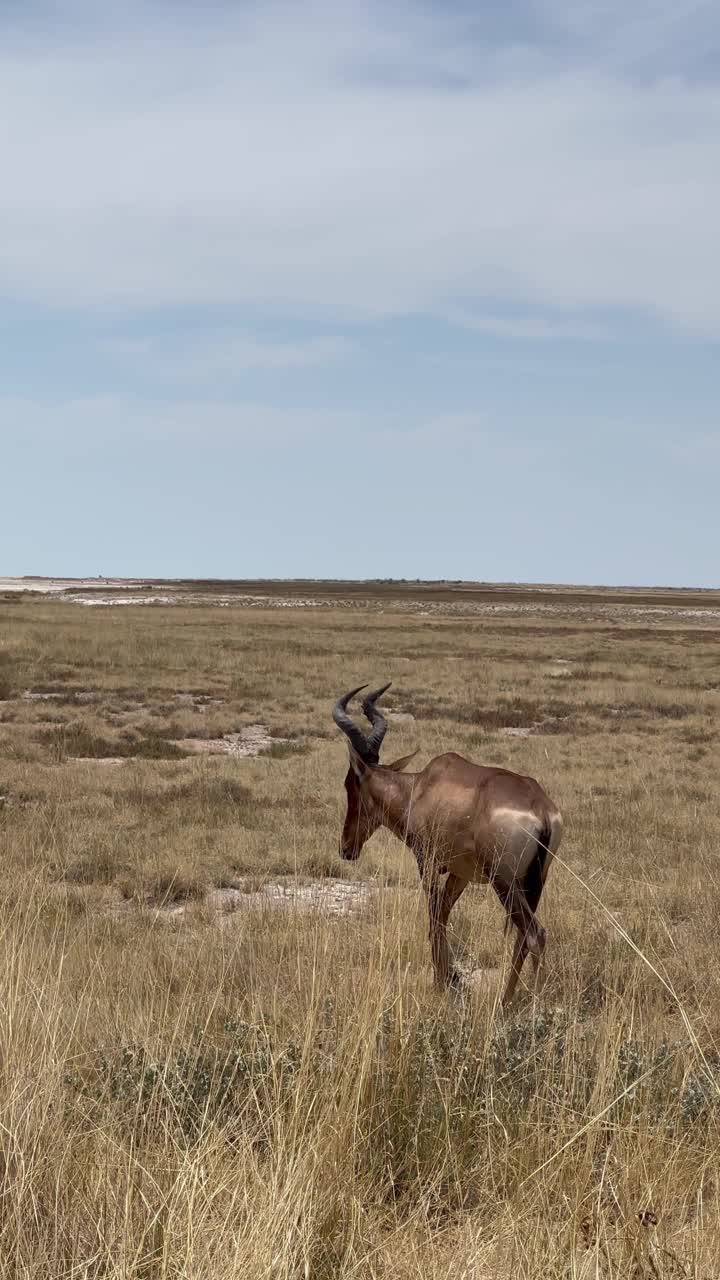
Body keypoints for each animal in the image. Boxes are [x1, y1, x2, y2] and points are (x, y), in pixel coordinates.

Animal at [330, 686, 561, 1003]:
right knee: (523, 937)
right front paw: (450, 977)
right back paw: (511, 997)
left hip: (504, 882)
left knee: (534, 934)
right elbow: (443, 914)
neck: (421, 787)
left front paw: (441, 980)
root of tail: (541, 809)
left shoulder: (426, 860)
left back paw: (518, 1002)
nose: (347, 848)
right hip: (535, 881)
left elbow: (433, 915)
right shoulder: (460, 873)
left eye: (350, 784)